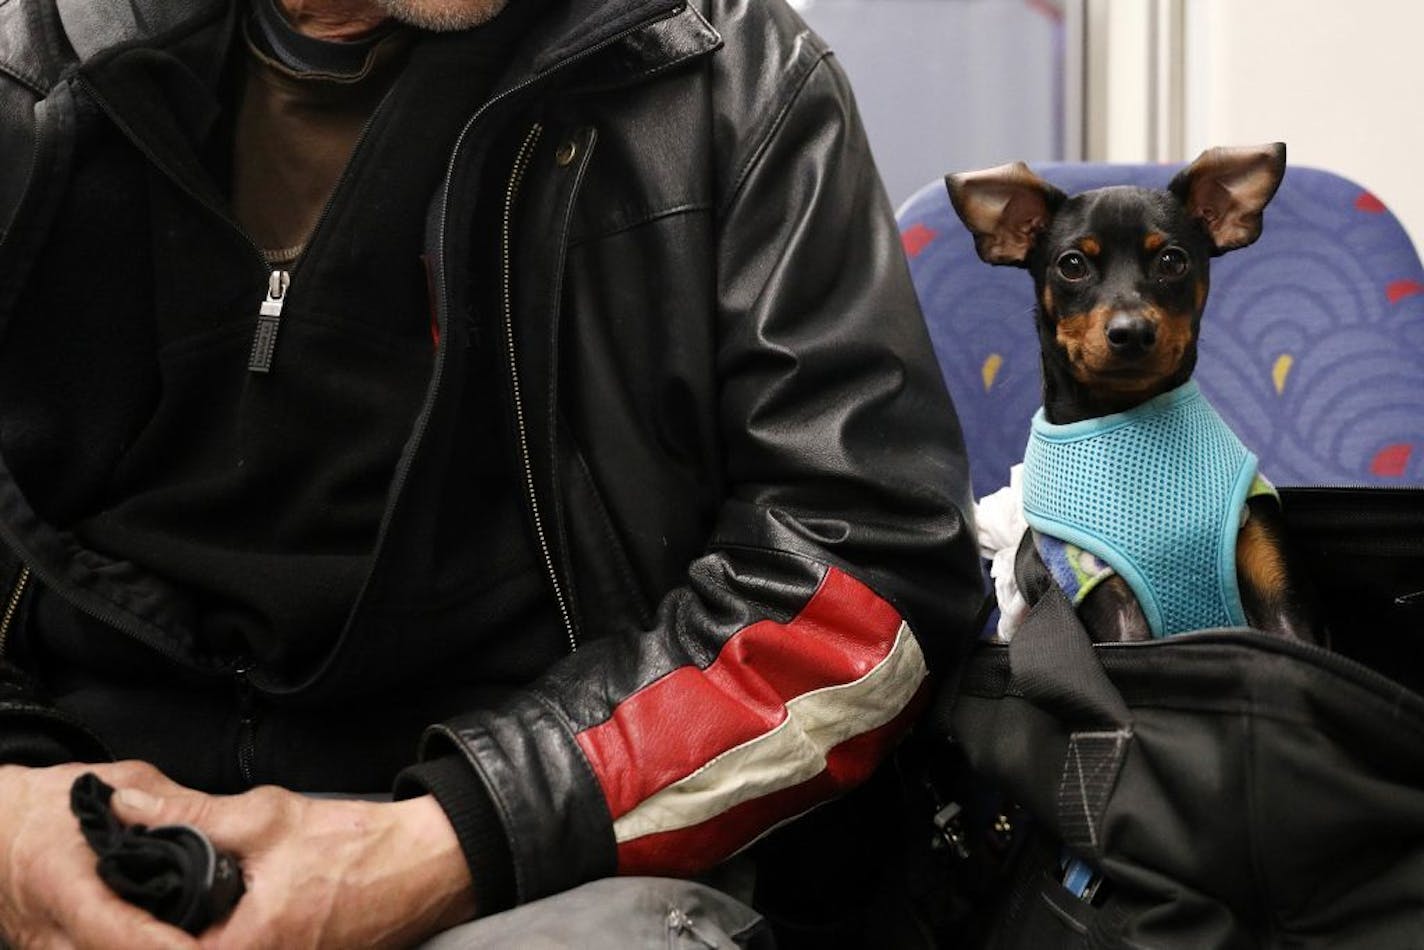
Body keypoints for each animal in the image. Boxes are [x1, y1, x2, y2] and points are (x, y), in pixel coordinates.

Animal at [945, 143, 1321, 646]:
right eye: (1072, 265)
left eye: (1172, 261)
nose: (1132, 332)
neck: (1128, 412)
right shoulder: (1110, 602)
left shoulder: (1280, 602)